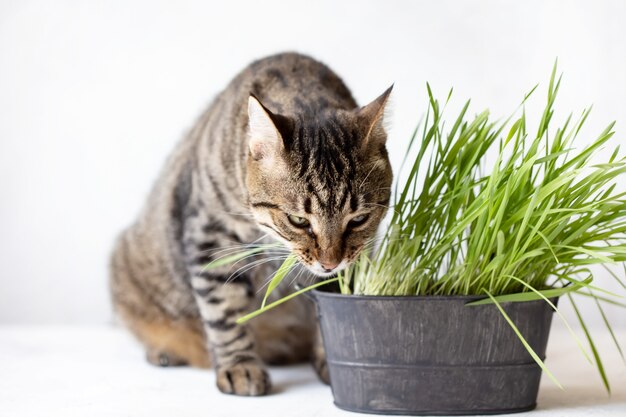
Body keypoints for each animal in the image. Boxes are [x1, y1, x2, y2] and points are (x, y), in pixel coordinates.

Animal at [108, 52, 390, 394]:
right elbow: (225, 311)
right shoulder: (213, 239)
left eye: (358, 219)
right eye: (298, 220)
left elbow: (332, 311)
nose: (329, 263)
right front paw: (239, 366)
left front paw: (333, 360)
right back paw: (166, 351)